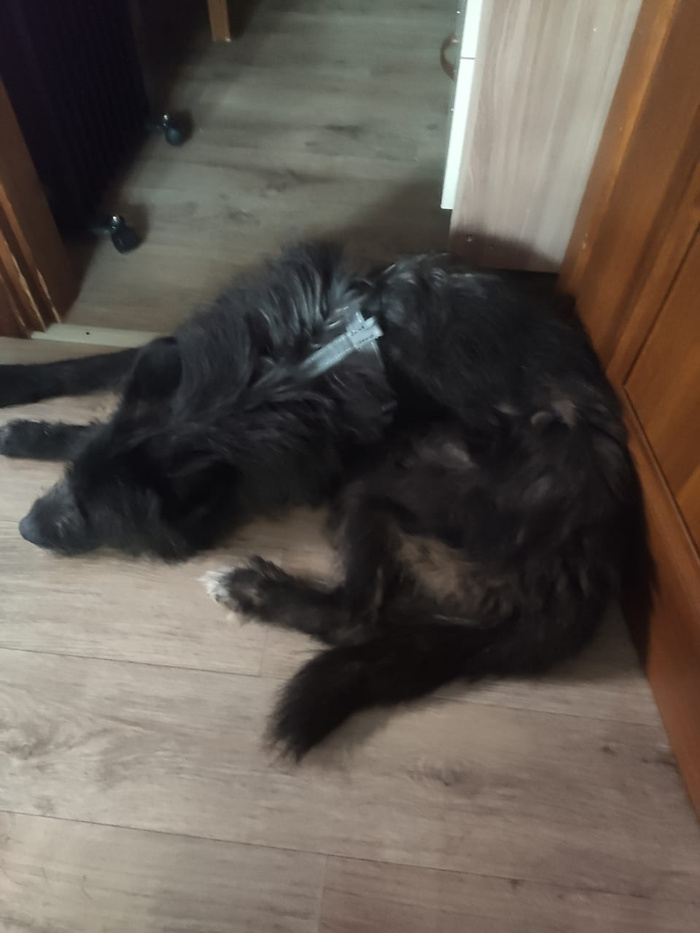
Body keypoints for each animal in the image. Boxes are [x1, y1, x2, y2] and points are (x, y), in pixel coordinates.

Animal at [0, 242, 650, 757]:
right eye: (71, 487)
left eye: (94, 519)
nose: (26, 528)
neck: (289, 369)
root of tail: (584, 574)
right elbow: (98, 373)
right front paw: (28, 414)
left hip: (385, 478)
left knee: (356, 617)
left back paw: (253, 589)